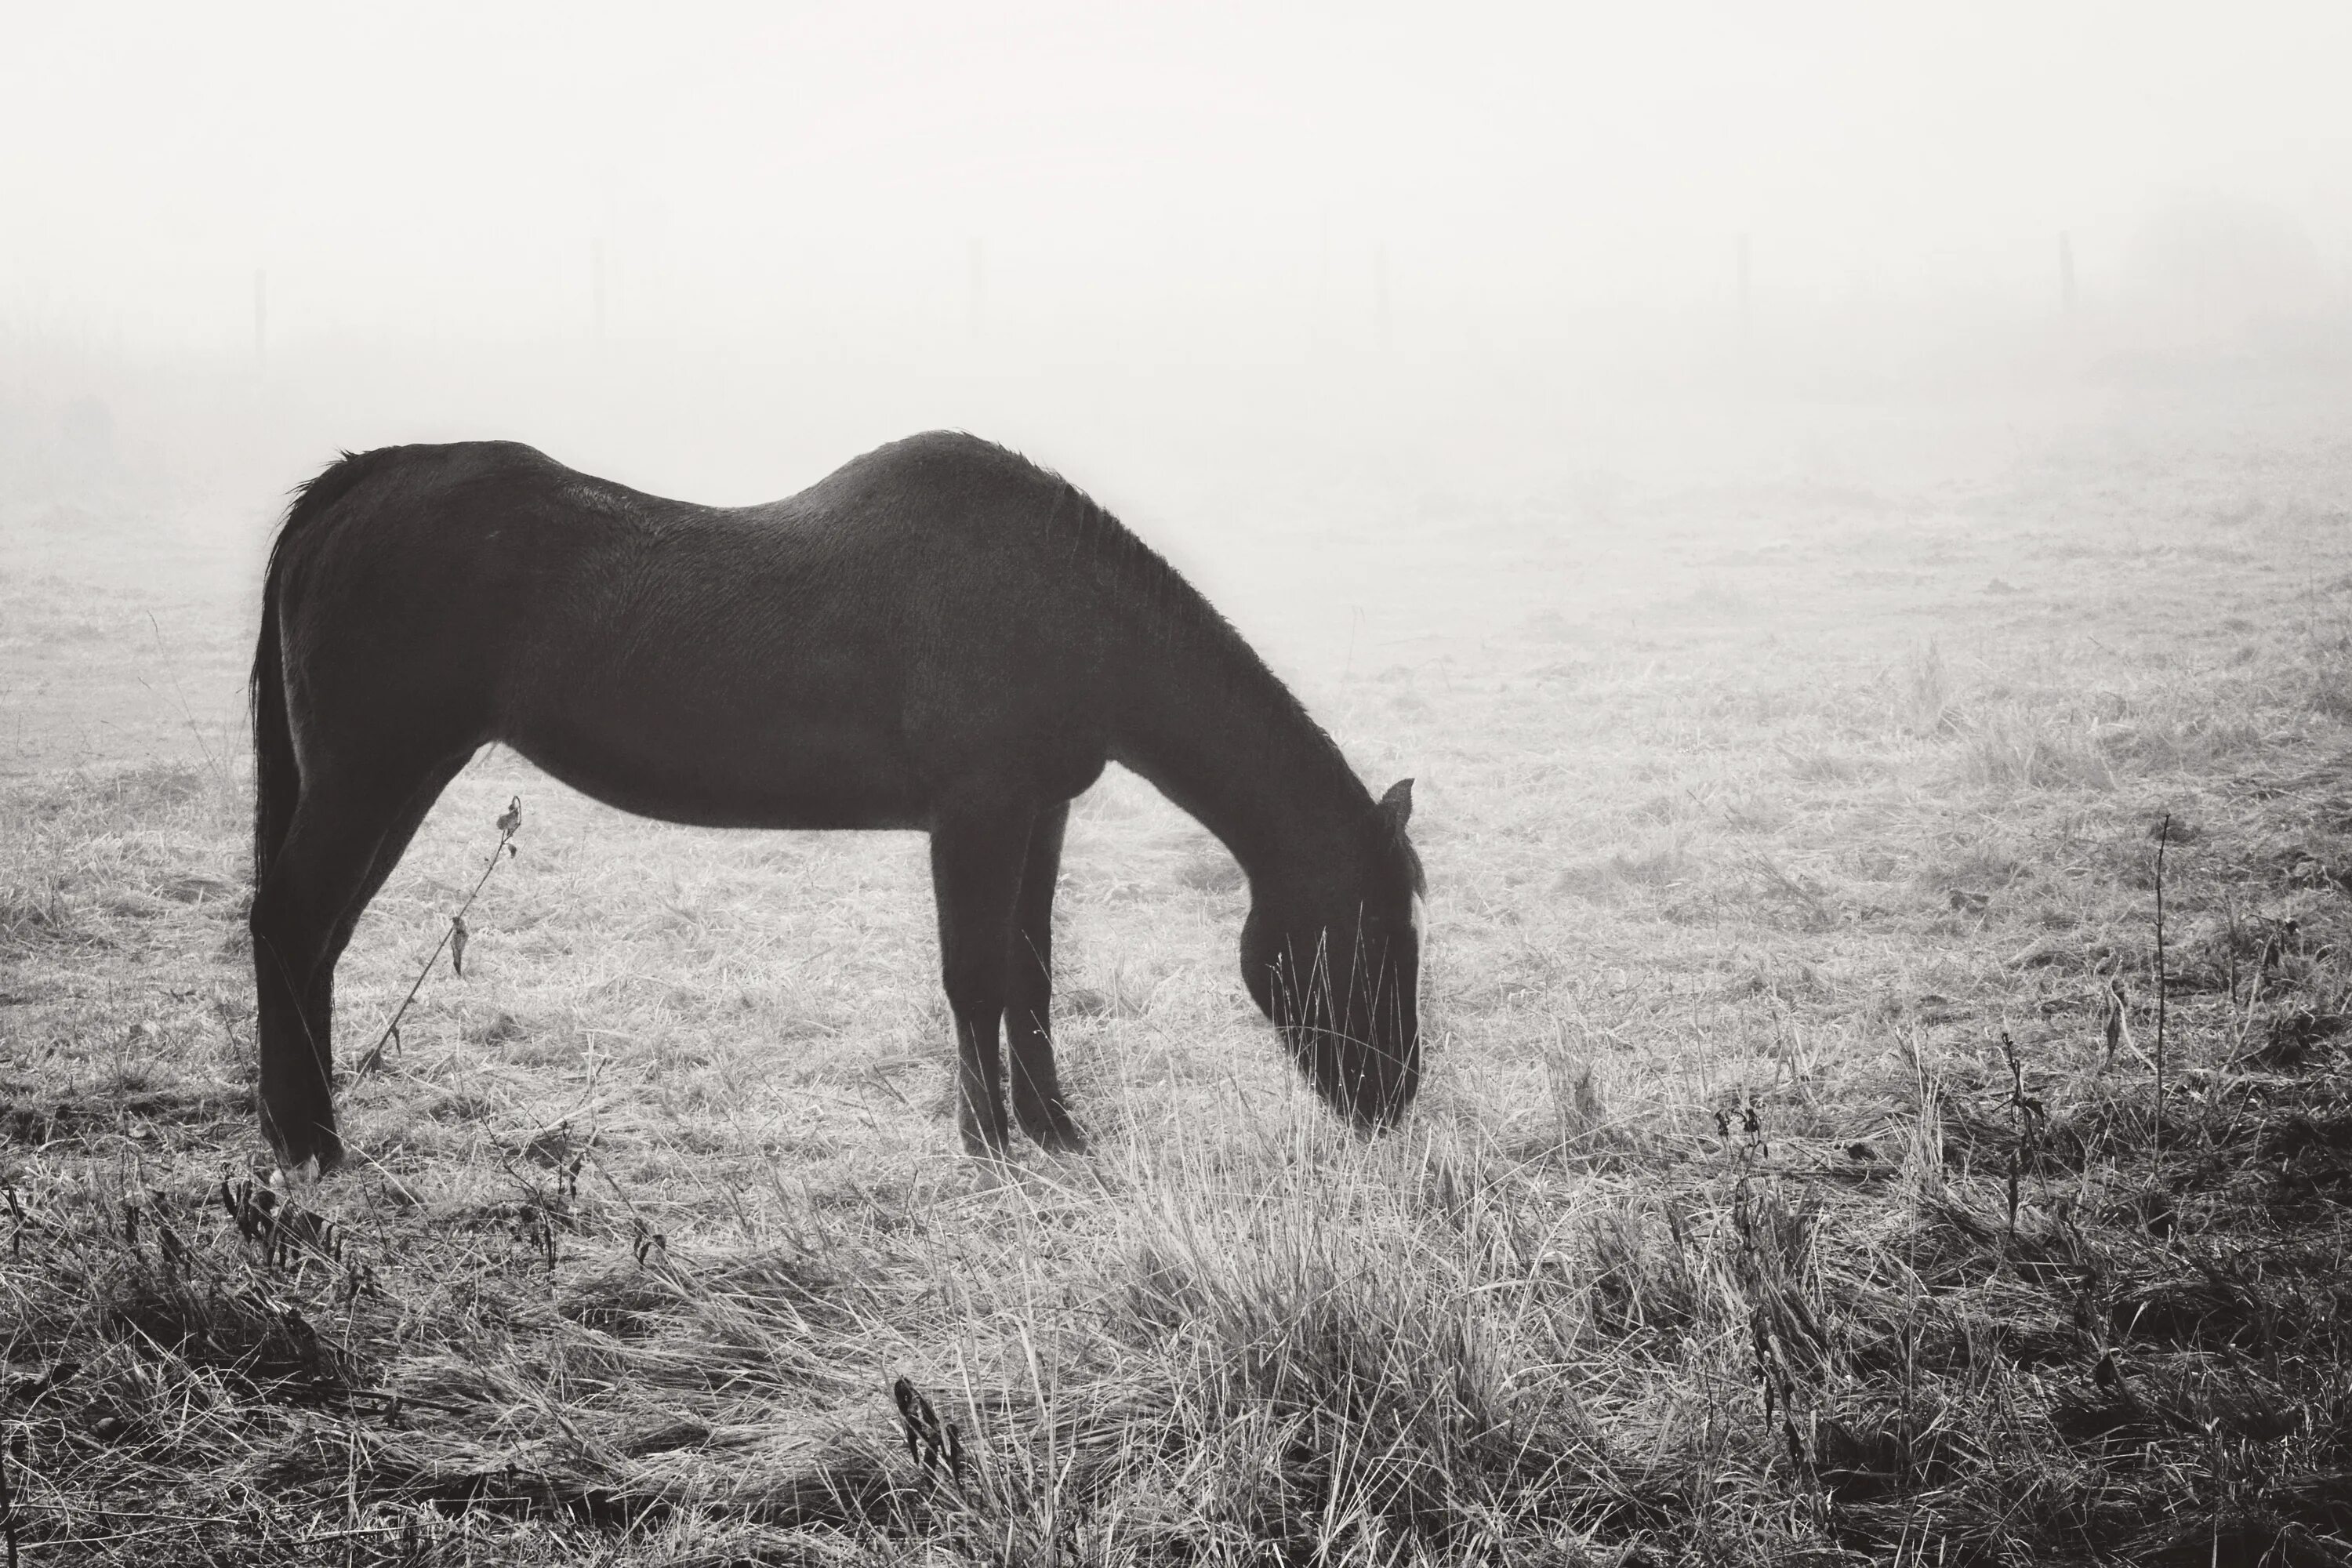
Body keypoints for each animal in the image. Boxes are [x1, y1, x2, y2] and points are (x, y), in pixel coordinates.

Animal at [248, 434, 1421, 1171]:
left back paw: (299, 1123)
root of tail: (354, 488)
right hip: (371, 774)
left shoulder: (1039, 816)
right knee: (290, 923)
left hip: (393, 780)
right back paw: (310, 1142)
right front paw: (987, 1141)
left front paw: (1053, 1129)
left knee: (320, 939)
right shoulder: (976, 817)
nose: (1396, 1099)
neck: (1057, 606)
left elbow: (1031, 977)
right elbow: (976, 979)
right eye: (1375, 932)